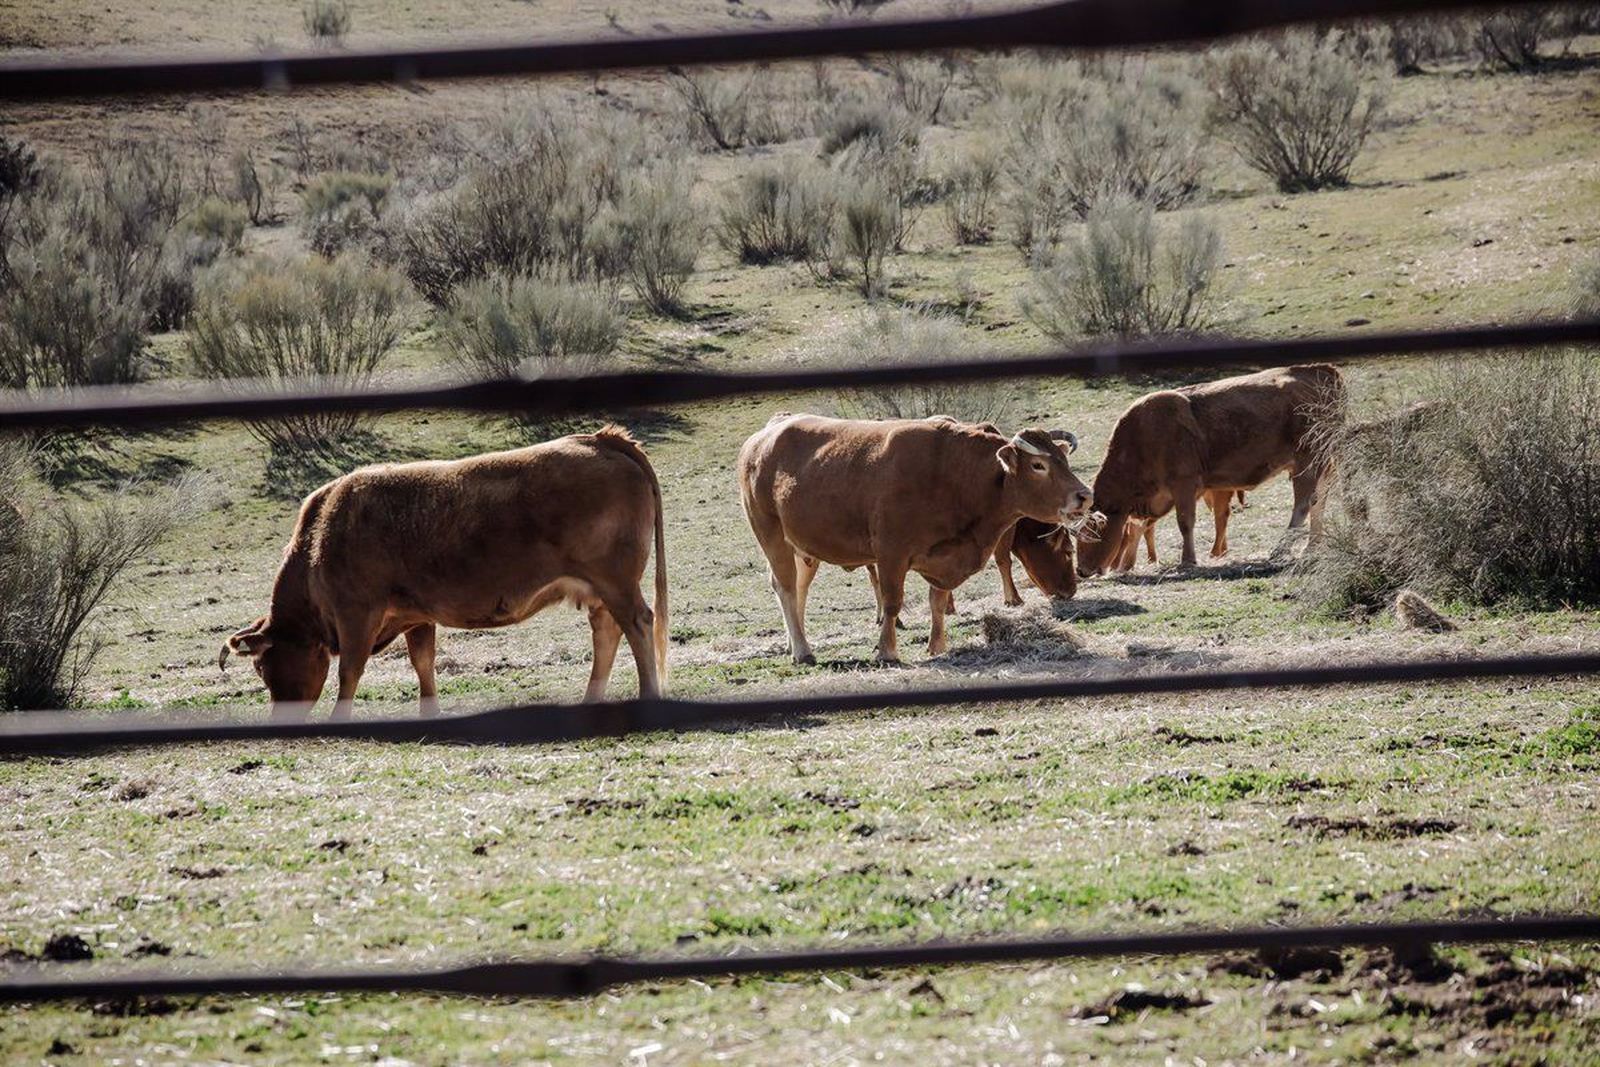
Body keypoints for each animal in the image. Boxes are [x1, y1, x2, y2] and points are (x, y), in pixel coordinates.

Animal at [220, 426, 668, 719]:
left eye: (262, 666)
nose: (280, 719)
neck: (320, 537)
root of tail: (600, 439)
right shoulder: (416, 617)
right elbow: (423, 664)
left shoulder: (356, 615)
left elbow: (350, 671)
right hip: (598, 591)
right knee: (607, 633)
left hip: (617, 583)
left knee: (638, 623)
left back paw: (649, 695)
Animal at [737, 414, 1092, 664]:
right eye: (1038, 465)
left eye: (1064, 461)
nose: (1084, 495)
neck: (952, 474)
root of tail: (764, 435)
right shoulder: (890, 553)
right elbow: (893, 602)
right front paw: (887, 651)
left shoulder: (945, 559)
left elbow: (938, 601)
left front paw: (937, 645)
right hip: (770, 534)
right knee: (785, 587)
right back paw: (803, 651)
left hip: (802, 546)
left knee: (798, 589)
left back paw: (793, 642)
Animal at [1076, 364, 1345, 576]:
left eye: (1088, 533)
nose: (1080, 570)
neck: (1143, 435)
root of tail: (1321, 371)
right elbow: (1142, 526)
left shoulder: (1184, 485)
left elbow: (1185, 522)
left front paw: (1187, 561)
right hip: (1321, 465)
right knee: (1318, 502)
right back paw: (1311, 547)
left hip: (1306, 463)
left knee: (1303, 504)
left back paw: (1280, 551)